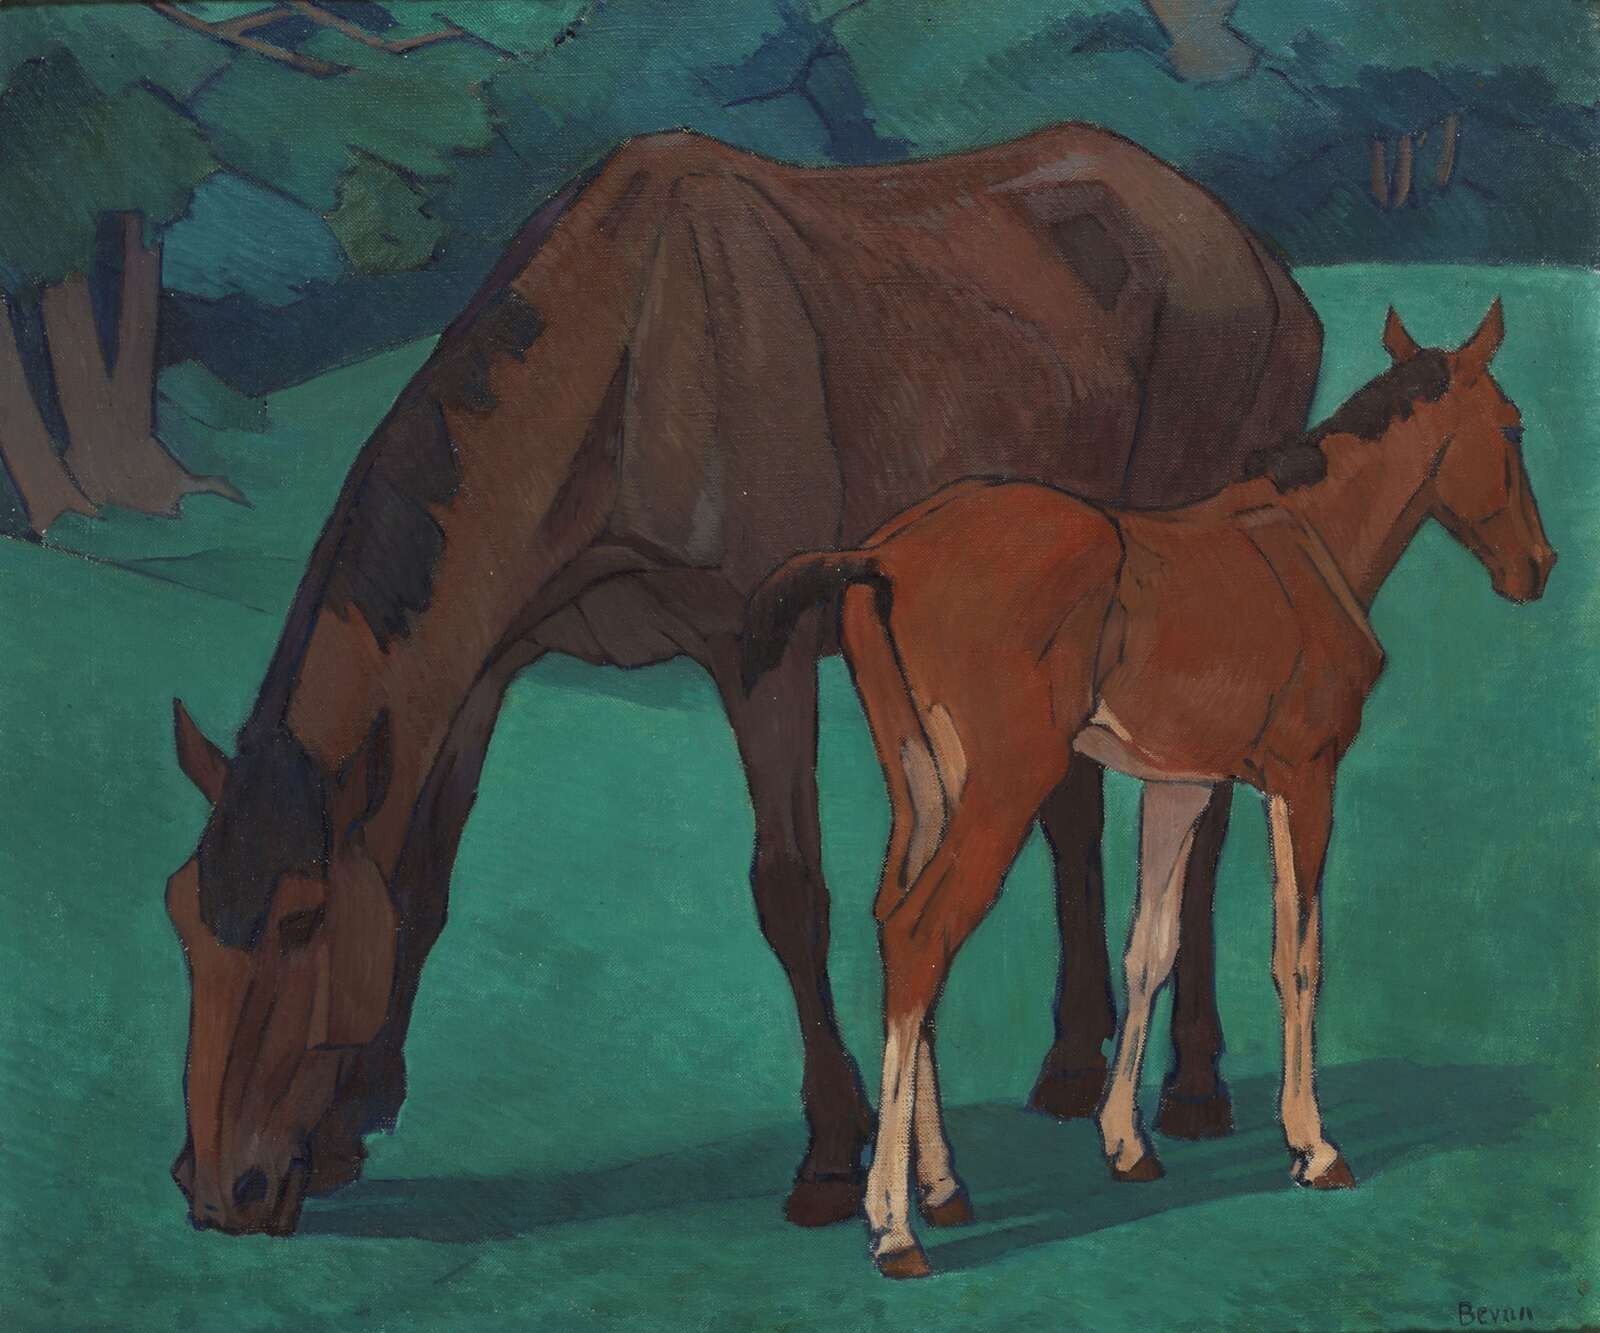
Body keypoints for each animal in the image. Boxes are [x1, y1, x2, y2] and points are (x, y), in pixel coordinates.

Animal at [161, 123, 1322, 1235]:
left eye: (301, 920)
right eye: (182, 917)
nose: (219, 1189)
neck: (627, 358)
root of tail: (1251, 254)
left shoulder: (760, 653)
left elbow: (789, 892)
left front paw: (831, 1153)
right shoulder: (484, 669)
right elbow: (420, 883)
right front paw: (350, 1123)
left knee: (1201, 814)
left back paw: (1196, 1087)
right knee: (1074, 809)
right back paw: (1076, 1066)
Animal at [739, 301, 1554, 1277]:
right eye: (1513, 427)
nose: (1539, 567)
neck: (1300, 540)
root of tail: (884, 554)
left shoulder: (1183, 789)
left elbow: (1149, 949)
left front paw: (1127, 1142)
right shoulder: (1303, 777)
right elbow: (1298, 955)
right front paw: (1313, 1145)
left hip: (928, 789)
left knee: (900, 931)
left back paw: (942, 1188)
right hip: (1004, 790)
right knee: (921, 932)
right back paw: (894, 1224)